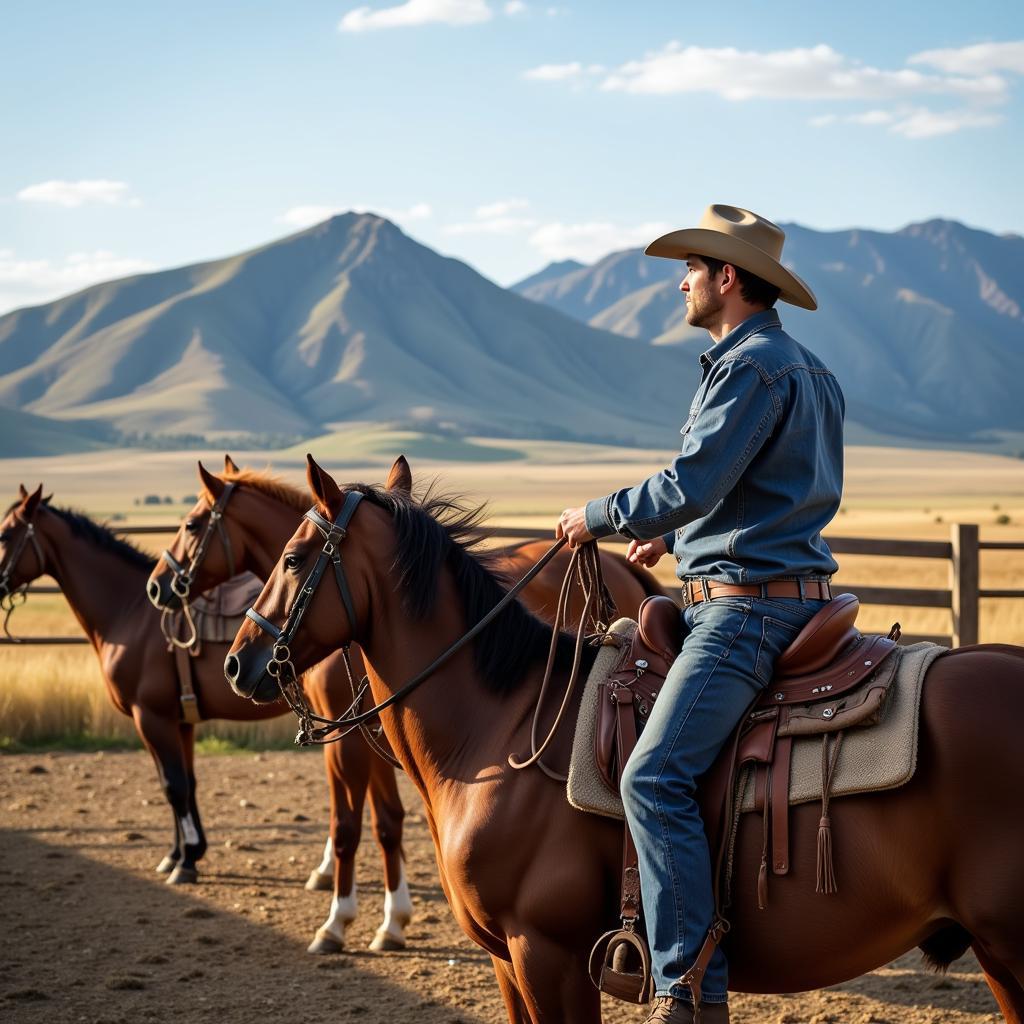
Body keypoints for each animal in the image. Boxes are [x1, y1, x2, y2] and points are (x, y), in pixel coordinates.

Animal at [146, 456, 663, 950]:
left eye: (291, 560)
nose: (236, 663)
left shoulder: (351, 740)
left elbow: (352, 825)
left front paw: (343, 922)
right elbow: (384, 820)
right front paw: (386, 917)